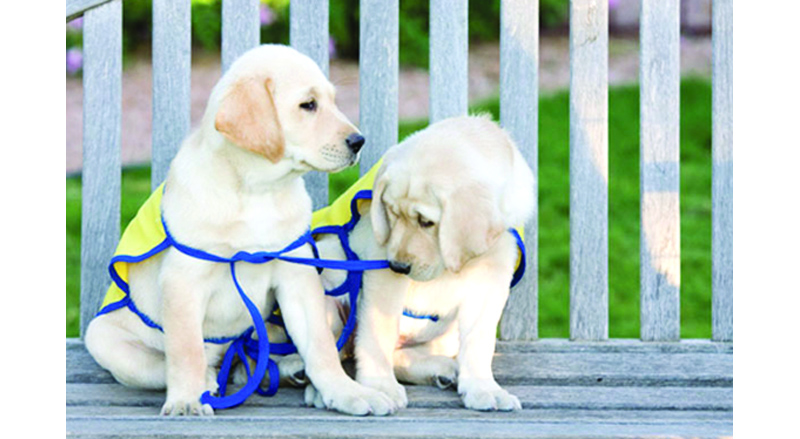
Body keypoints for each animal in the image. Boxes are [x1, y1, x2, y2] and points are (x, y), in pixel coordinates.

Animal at [86, 43, 396, 418]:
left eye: (334, 101)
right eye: (308, 105)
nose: (358, 141)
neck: (256, 191)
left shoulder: (297, 276)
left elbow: (320, 345)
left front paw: (345, 391)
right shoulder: (183, 281)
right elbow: (185, 349)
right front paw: (187, 399)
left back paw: (288, 370)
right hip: (102, 337)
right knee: (176, 363)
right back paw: (207, 380)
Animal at [304, 116, 536, 412]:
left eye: (426, 222)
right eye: (391, 212)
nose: (398, 267)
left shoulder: (492, 274)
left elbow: (479, 341)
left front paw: (484, 388)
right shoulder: (382, 268)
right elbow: (377, 335)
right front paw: (380, 385)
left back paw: (441, 369)